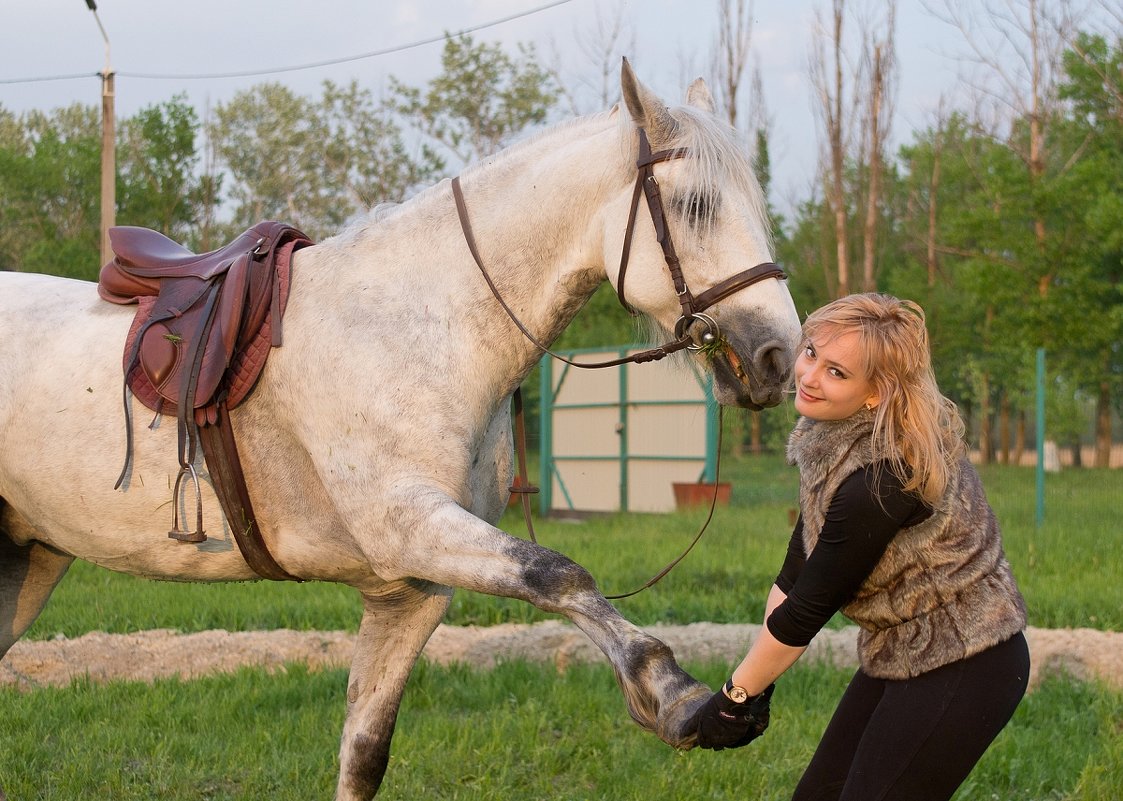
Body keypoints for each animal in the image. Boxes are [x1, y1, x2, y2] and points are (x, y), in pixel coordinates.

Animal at [0, 64, 799, 799]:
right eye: (695, 205)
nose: (778, 356)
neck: (417, 325)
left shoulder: (410, 591)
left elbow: (363, 753)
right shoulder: (410, 525)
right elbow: (559, 573)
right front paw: (675, 697)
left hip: (27, 561)